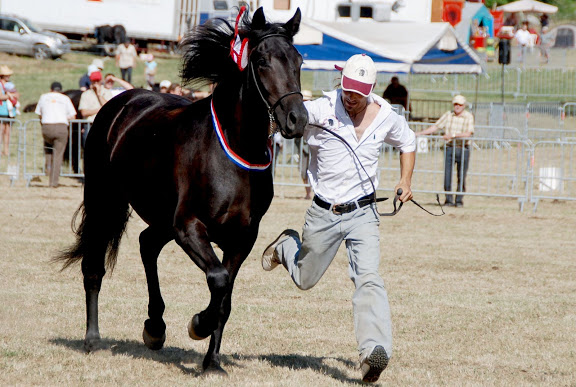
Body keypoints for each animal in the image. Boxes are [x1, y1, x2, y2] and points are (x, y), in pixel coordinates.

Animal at [56, 6, 308, 376]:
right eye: (262, 60)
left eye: (299, 60)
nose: (296, 119)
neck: (233, 149)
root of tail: (120, 103)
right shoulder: (189, 227)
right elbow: (218, 279)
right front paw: (198, 324)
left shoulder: (242, 237)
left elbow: (225, 298)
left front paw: (212, 362)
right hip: (105, 201)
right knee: (94, 267)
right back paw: (93, 339)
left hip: (160, 218)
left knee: (147, 244)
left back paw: (155, 327)